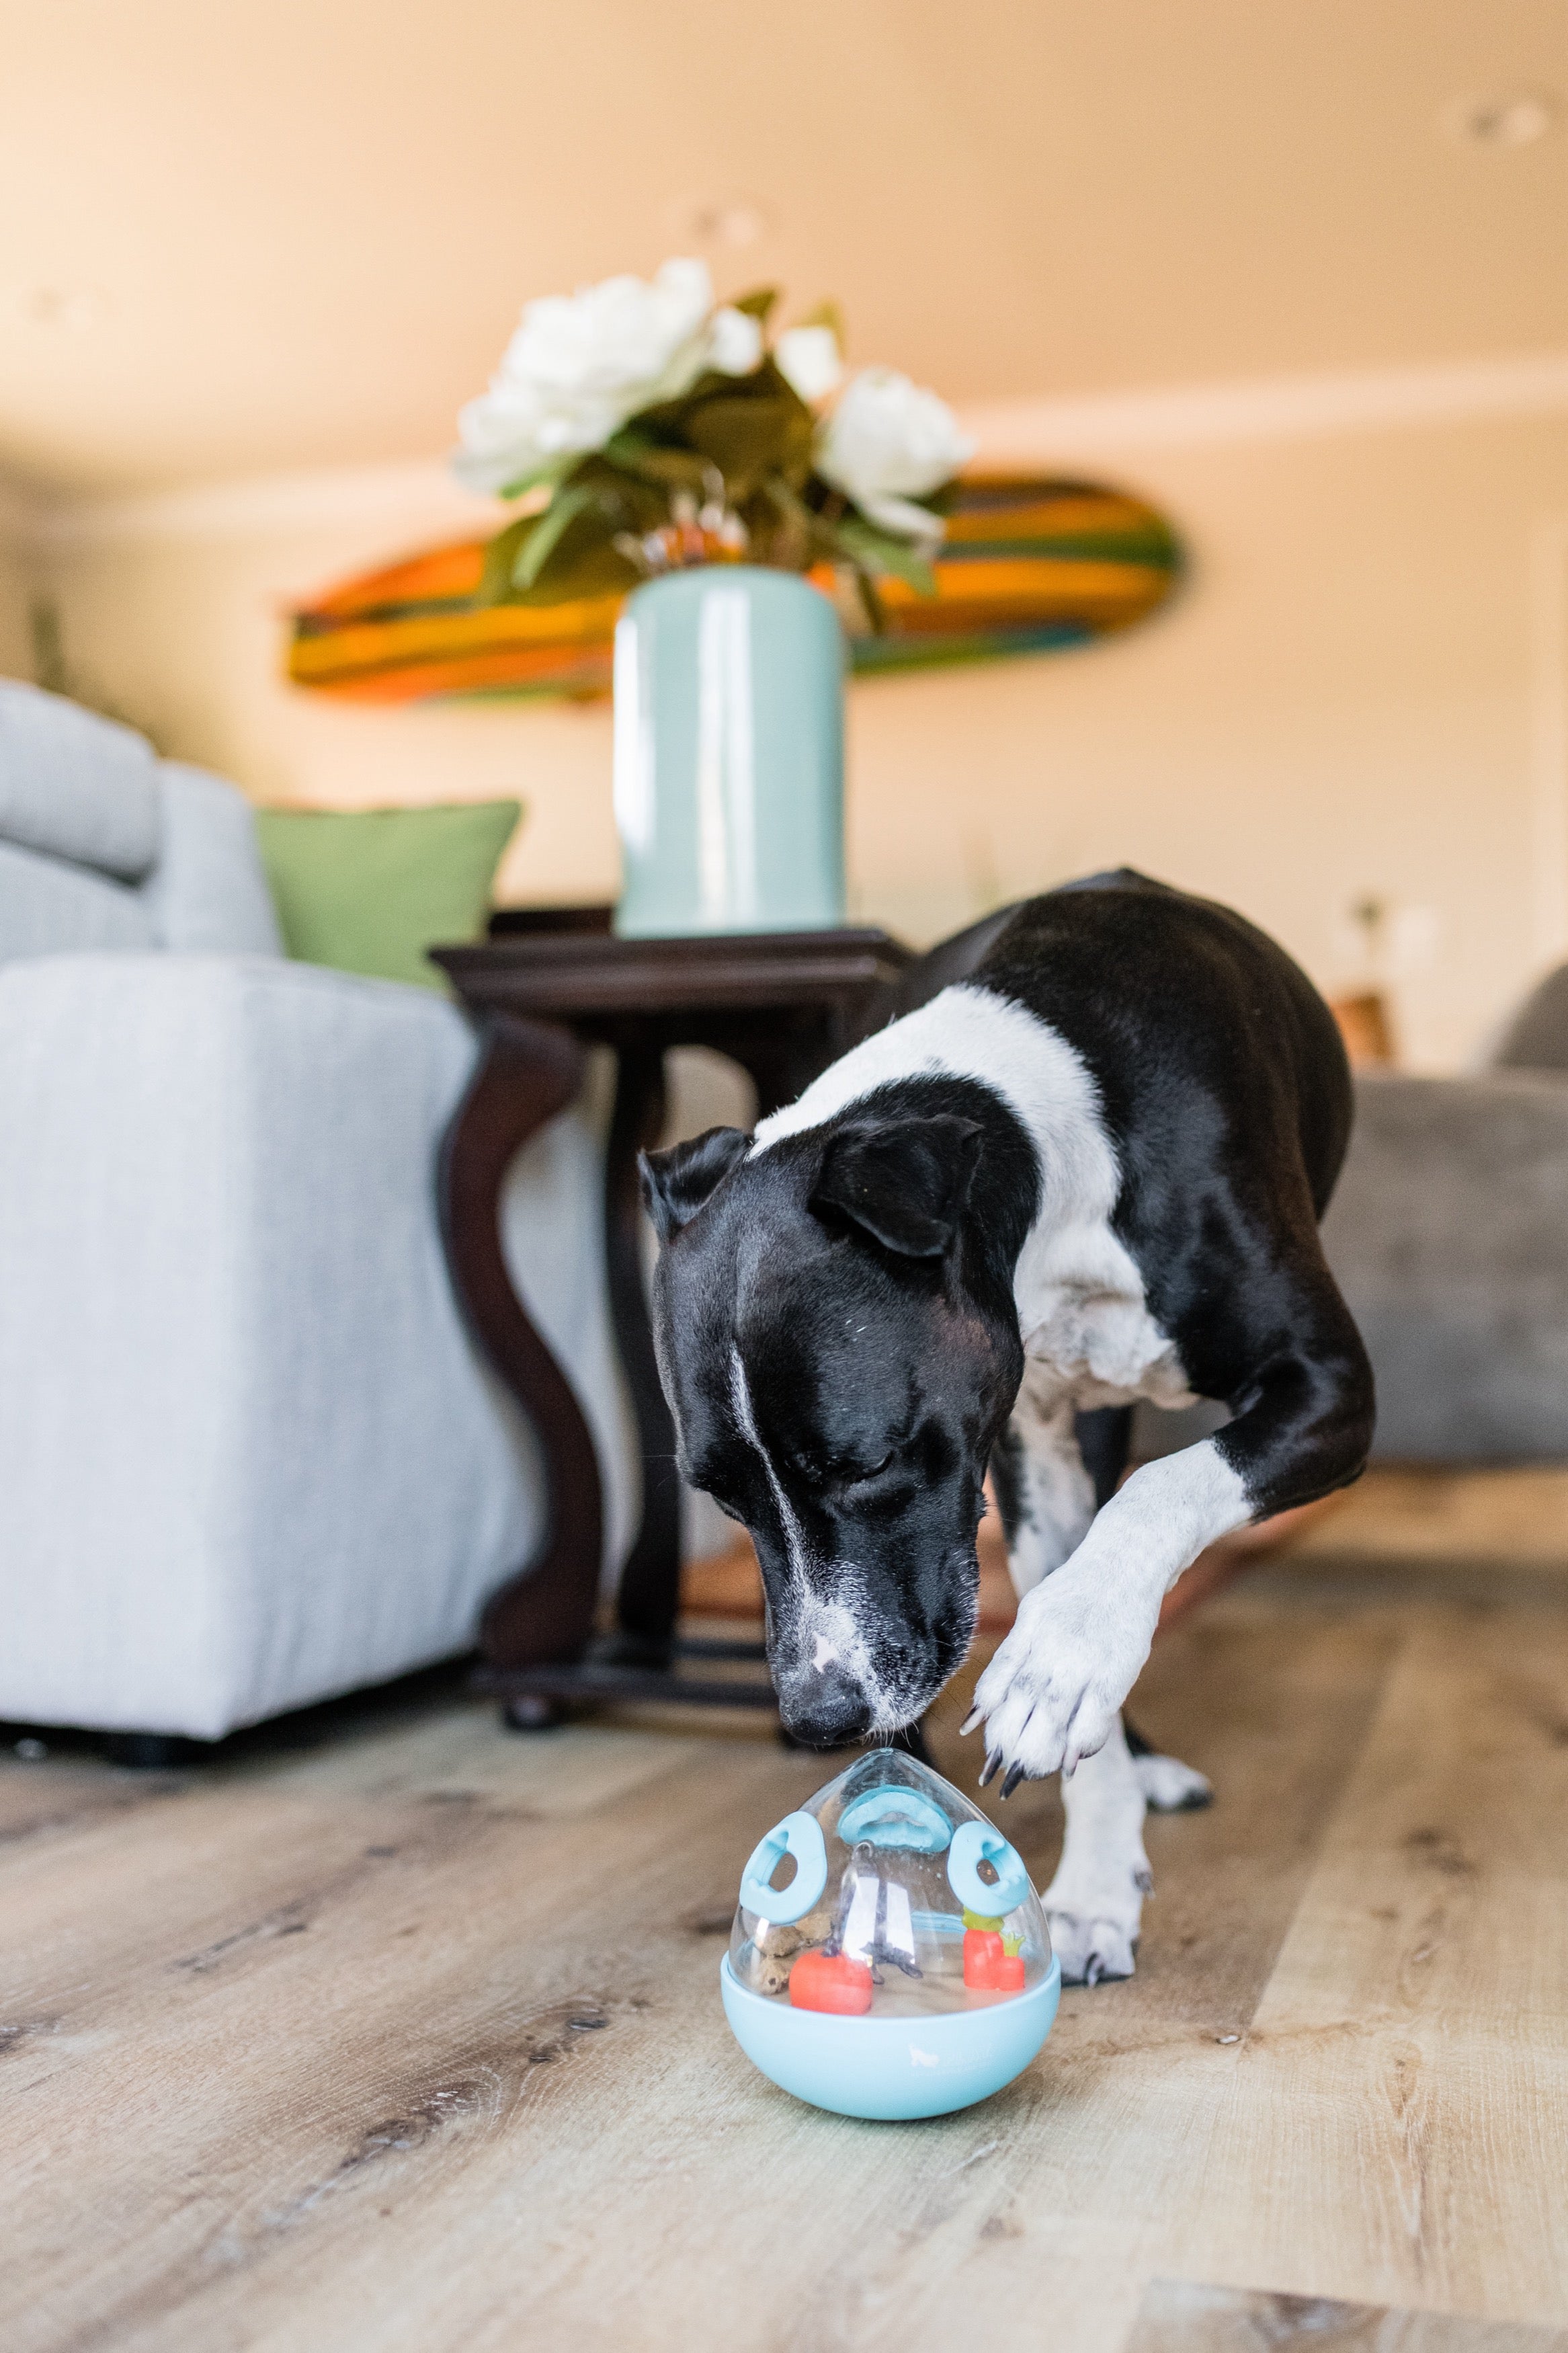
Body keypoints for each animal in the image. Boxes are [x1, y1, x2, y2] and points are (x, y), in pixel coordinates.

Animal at [639, 875, 1372, 1977]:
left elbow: (1156, 1499)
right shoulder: (1029, 1450)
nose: (820, 1715)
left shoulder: (1332, 1388)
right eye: (723, 1499)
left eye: (868, 1463)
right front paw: (1097, 1882)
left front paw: (1057, 1668)